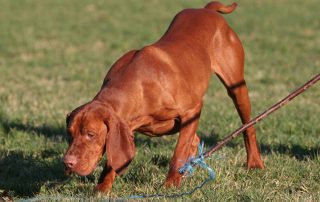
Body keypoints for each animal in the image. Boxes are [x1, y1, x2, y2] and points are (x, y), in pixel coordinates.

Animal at [63, 0, 264, 193]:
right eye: (70, 134)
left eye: (90, 134)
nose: (67, 163)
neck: (138, 86)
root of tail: (207, 9)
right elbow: (116, 157)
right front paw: (102, 188)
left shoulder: (192, 110)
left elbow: (178, 153)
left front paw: (170, 185)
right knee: (195, 140)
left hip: (237, 88)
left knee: (248, 127)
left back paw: (254, 163)